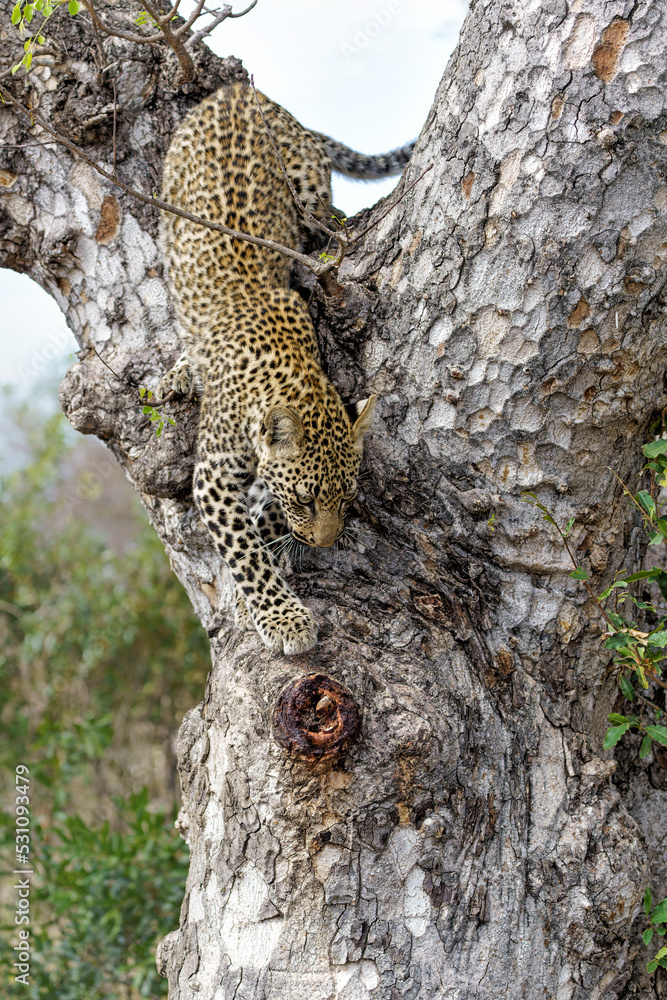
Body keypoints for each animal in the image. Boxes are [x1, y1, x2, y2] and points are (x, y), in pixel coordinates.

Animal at [158, 81, 413, 655]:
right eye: (306, 497)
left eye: (346, 496)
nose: (324, 543)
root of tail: (237, 90)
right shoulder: (212, 475)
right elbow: (244, 552)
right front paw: (283, 617)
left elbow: (262, 512)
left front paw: (269, 551)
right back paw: (181, 368)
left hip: (306, 186)